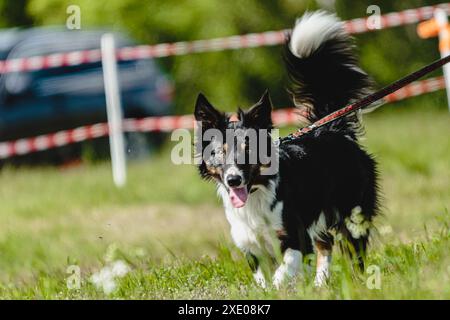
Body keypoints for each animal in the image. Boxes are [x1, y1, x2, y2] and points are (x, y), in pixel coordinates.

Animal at [193, 11, 380, 288]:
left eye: (249, 149)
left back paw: (356, 283)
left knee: (353, 251)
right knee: (325, 243)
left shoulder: (294, 236)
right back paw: (321, 285)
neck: (257, 193)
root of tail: (333, 128)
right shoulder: (251, 245)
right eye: (219, 153)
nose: (234, 180)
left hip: (353, 213)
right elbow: (264, 282)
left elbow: (283, 273)